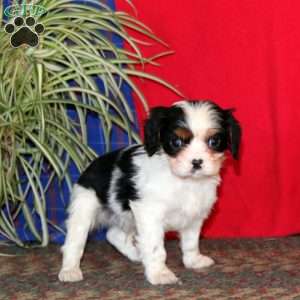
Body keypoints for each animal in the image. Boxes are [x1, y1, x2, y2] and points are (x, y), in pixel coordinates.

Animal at [58, 99, 241, 284]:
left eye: (214, 141)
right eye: (176, 142)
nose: (196, 162)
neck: (184, 181)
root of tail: (89, 167)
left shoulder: (194, 216)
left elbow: (191, 242)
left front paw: (193, 261)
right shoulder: (149, 214)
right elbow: (155, 248)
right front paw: (159, 274)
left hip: (125, 217)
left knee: (112, 234)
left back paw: (136, 254)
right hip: (84, 206)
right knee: (74, 241)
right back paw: (70, 270)